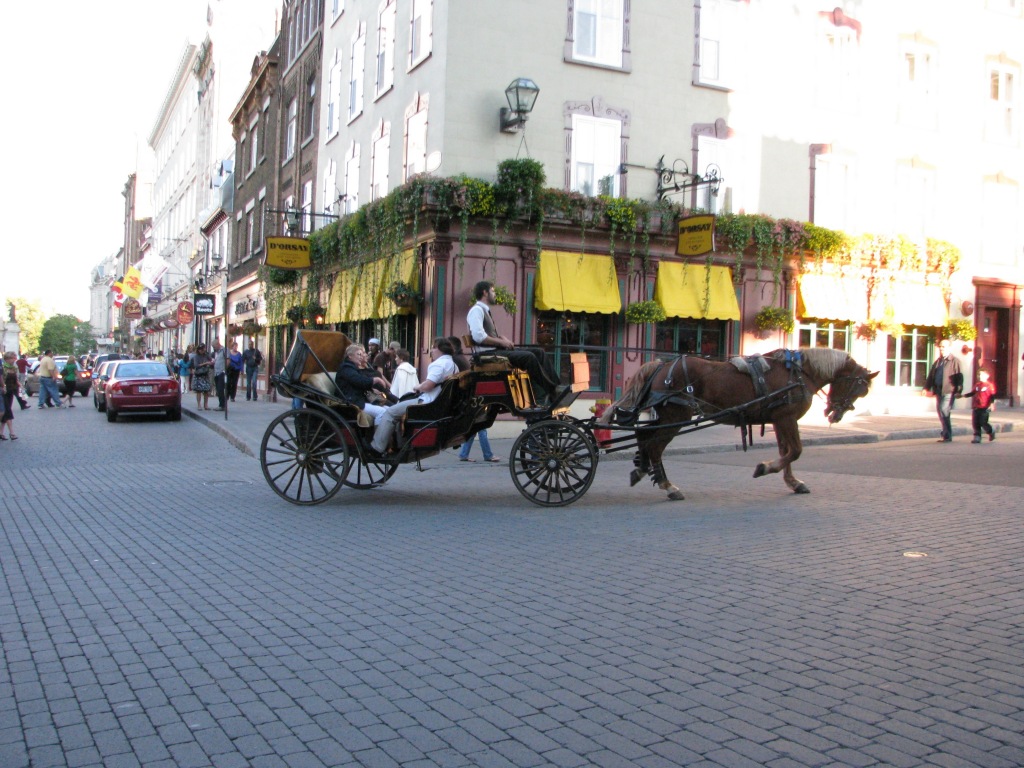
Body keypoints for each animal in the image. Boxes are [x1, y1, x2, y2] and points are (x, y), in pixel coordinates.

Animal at [601, 348, 877, 500]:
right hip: (676, 417)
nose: (835, 414)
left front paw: (792, 482)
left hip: (668, 417)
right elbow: (795, 451)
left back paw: (642, 470)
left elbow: (787, 452)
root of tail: (662, 365)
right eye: (859, 388)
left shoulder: (780, 419)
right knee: (654, 446)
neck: (799, 373)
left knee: (644, 438)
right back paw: (668, 486)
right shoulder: (787, 418)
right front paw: (764, 468)